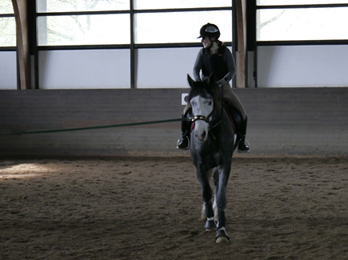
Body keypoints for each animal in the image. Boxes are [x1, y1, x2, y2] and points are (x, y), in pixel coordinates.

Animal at [186, 74, 241, 243]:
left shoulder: (224, 163)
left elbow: (221, 194)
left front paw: (221, 231)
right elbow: (206, 191)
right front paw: (209, 221)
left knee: (216, 183)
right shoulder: (199, 165)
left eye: (209, 102)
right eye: (192, 102)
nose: (200, 133)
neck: (211, 135)